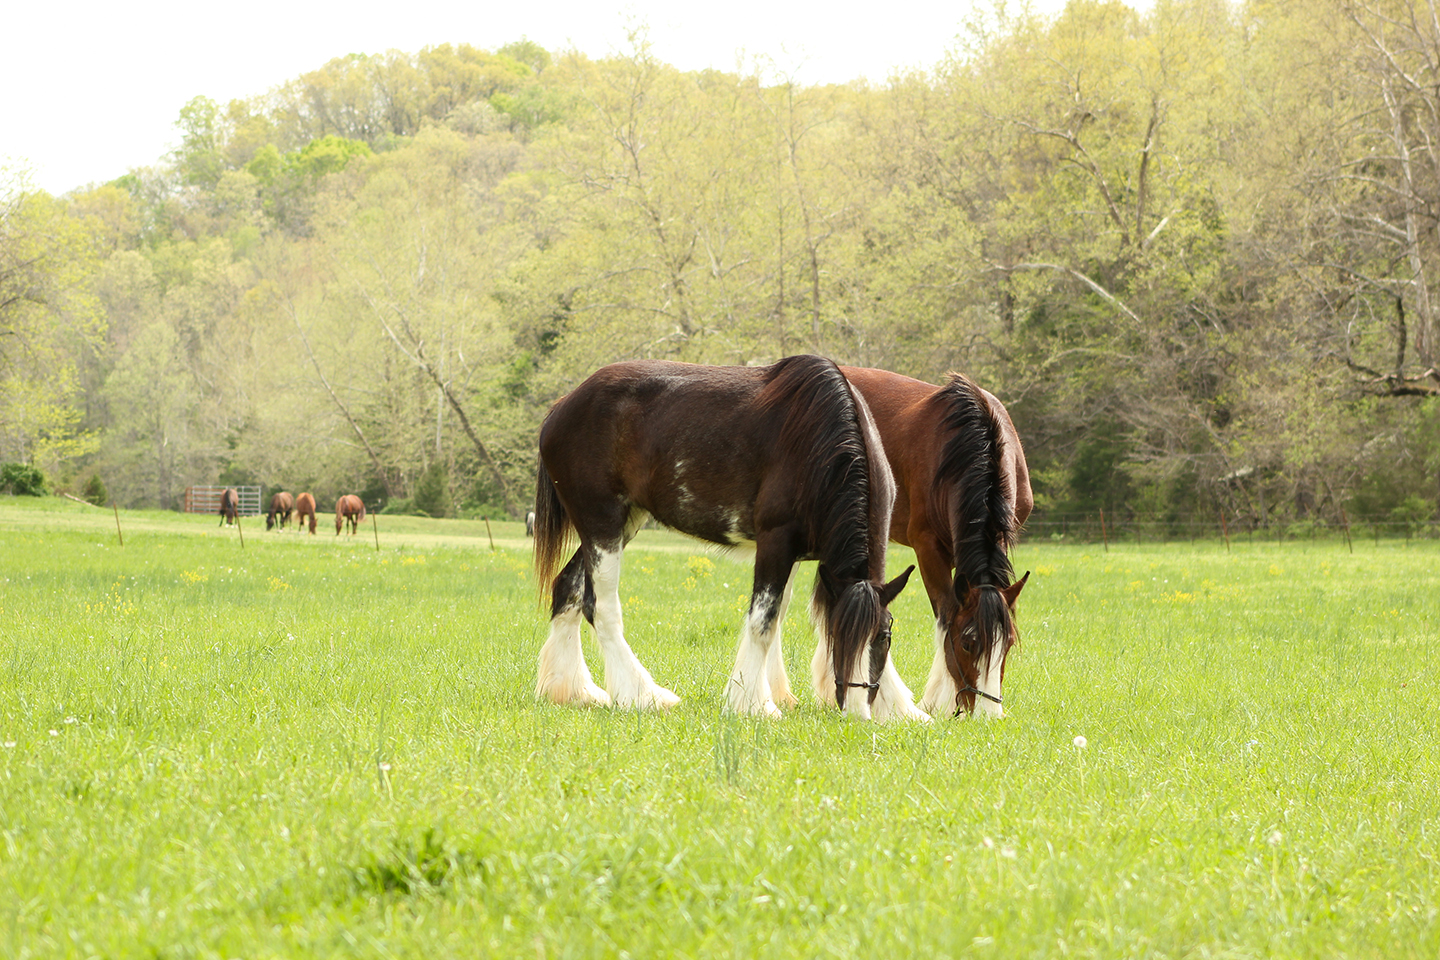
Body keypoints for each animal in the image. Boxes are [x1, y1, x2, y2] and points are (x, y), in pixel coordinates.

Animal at [534, 355, 921, 721]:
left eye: (884, 636)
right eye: (838, 637)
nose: (856, 710)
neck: (818, 444)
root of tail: (563, 407)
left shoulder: (811, 559)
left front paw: (899, 707)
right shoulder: (776, 543)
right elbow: (763, 623)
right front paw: (753, 704)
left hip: (622, 522)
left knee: (567, 590)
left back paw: (574, 690)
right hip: (602, 523)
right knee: (600, 607)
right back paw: (642, 695)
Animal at [841, 367, 1032, 718]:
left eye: (1008, 644)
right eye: (968, 643)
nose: (989, 715)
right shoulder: (928, 549)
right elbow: (945, 614)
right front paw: (939, 699)